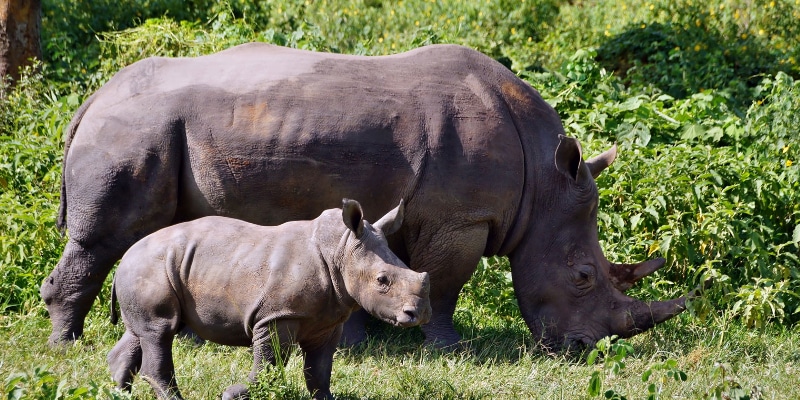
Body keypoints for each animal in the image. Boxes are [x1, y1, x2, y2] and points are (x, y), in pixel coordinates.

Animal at [43, 43, 690, 350]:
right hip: (135, 130)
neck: (542, 185)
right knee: (107, 237)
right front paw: (448, 348)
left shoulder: (417, 213)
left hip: (151, 128)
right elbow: (445, 283)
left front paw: (368, 337)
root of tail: (92, 99)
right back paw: (67, 343)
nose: (583, 350)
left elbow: (389, 273)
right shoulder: (463, 218)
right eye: (582, 277)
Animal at [107, 199, 430, 400]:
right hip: (150, 267)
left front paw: (327, 397)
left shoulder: (326, 321)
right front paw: (233, 394)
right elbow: (270, 362)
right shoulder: (277, 315)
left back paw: (116, 393)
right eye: (382, 281)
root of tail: (124, 258)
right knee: (160, 331)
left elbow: (319, 370)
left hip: (149, 269)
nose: (419, 314)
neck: (340, 250)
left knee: (142, 333)